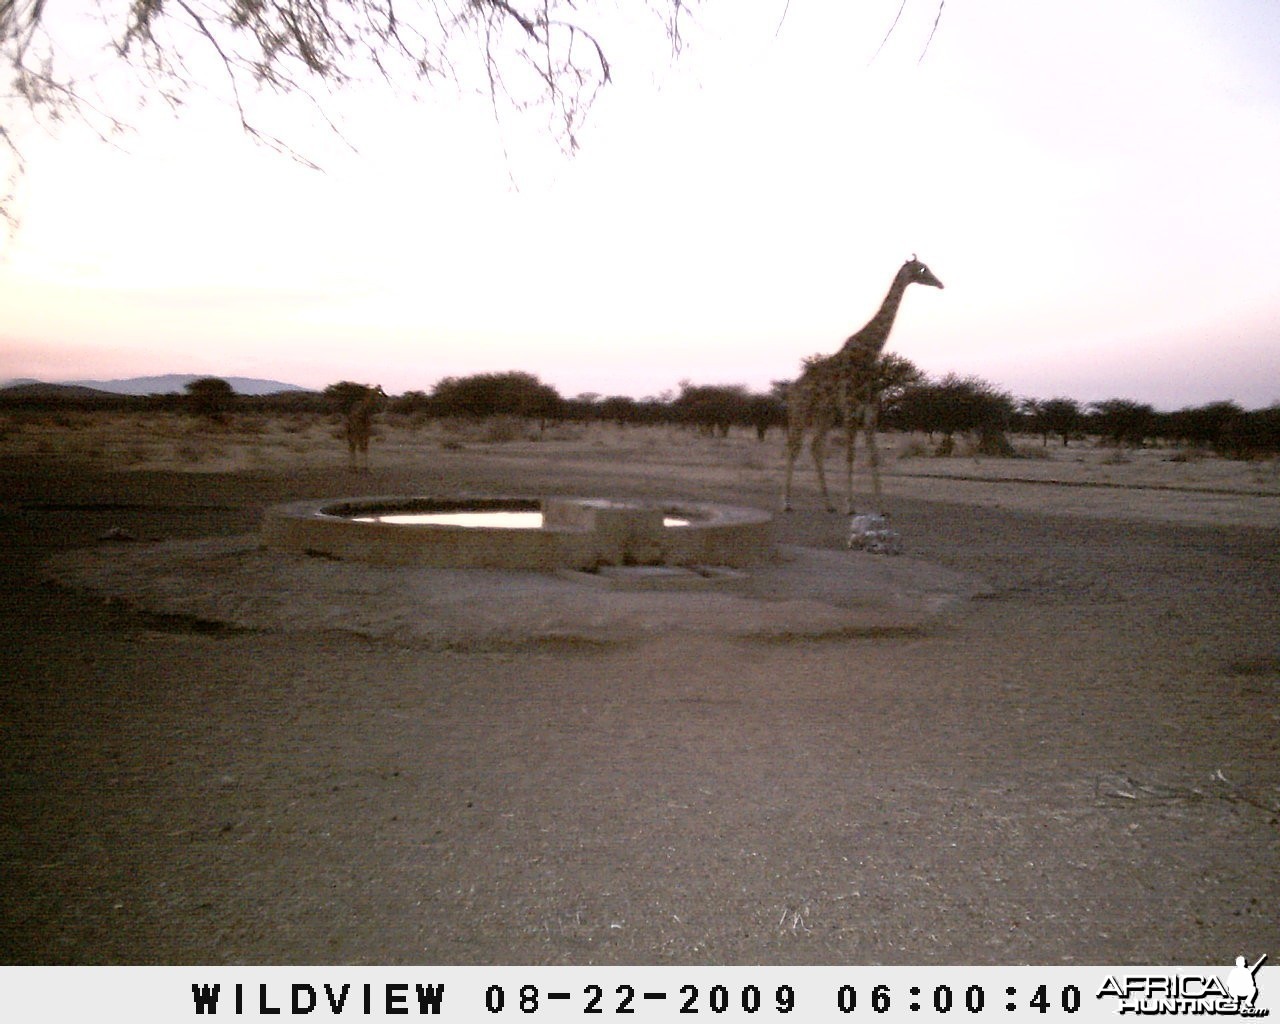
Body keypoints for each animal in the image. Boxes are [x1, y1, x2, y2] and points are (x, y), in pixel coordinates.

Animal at [773, 253, 947, 517]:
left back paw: (828, 504)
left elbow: (873, 456)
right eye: (922, 269)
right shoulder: (850, 406)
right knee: (793, 448)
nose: (940, 283)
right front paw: (850, 505)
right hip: (799, 412)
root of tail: (792, 390)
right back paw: (787, 503)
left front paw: (882, 507)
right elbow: (850, 454)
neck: (870, 352)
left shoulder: (871, 407)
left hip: (824, 413)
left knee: (815, 447)